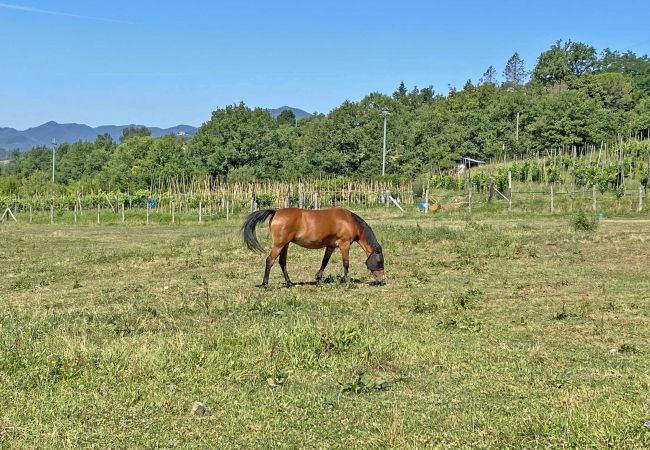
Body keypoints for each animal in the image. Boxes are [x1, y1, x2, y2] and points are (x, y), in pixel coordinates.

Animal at [243, 208, 384, 288]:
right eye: (380, 262)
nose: (382, 280)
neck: (349, 221)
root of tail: (276, 212)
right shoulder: (344, 244)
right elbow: (346, 263)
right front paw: (346, 281)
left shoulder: (331, 246)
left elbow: (324, 262)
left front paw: (318, 280)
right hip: (279, 245)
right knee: (270, 260)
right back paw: (265, 284)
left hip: (285, 245)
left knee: (282, 262)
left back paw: (290, 283)